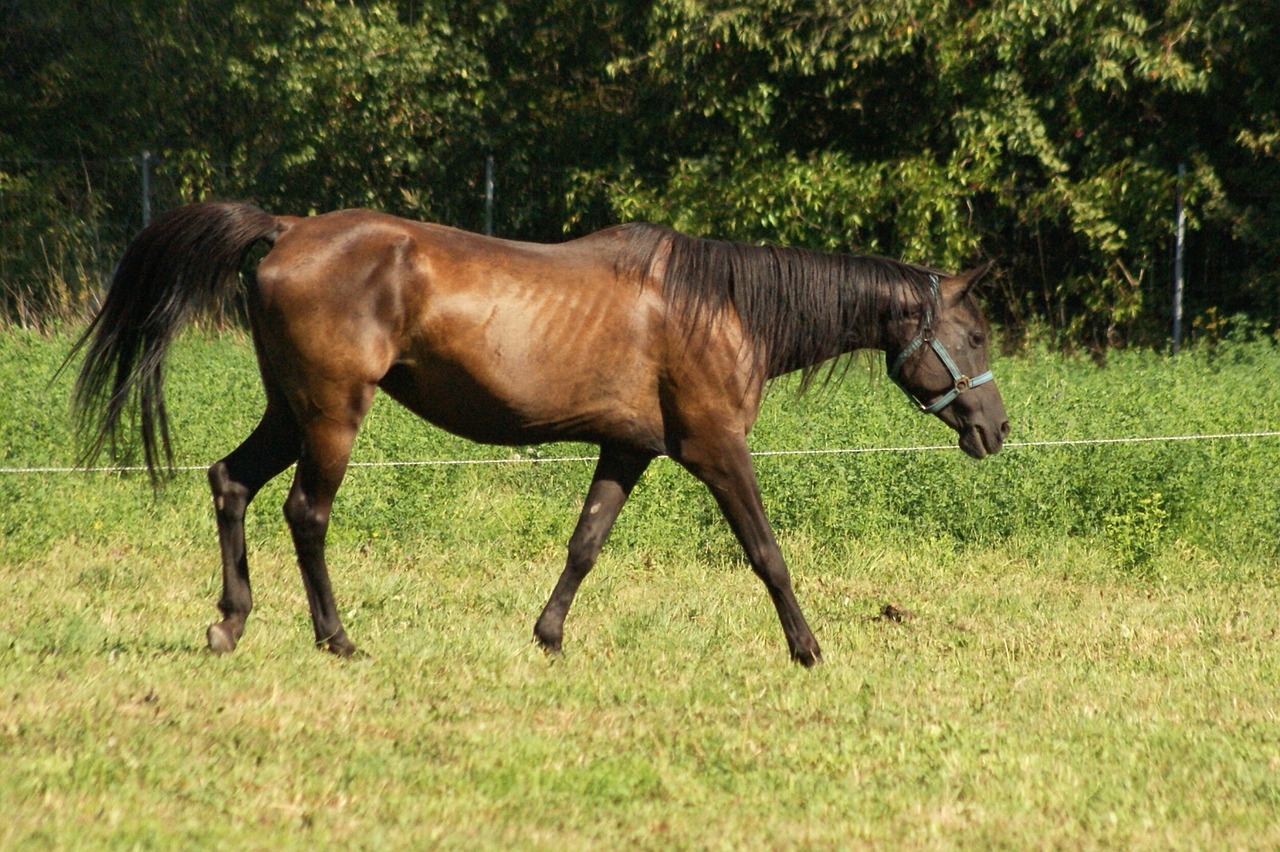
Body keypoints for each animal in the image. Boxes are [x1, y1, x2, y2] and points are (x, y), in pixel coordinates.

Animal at [70, 200, 1008, 665]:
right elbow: (766, 552)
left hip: (289, 411)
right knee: (307, 514)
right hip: (332, 414)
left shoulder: (628, 449)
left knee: (230, 481)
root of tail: (291, 231)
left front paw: (549, 636)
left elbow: (584, 545)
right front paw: (808, 649)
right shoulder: (715, 451)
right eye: (975, 334)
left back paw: (229, 624)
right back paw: (337, 640)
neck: (723, 308)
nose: (996, 429)